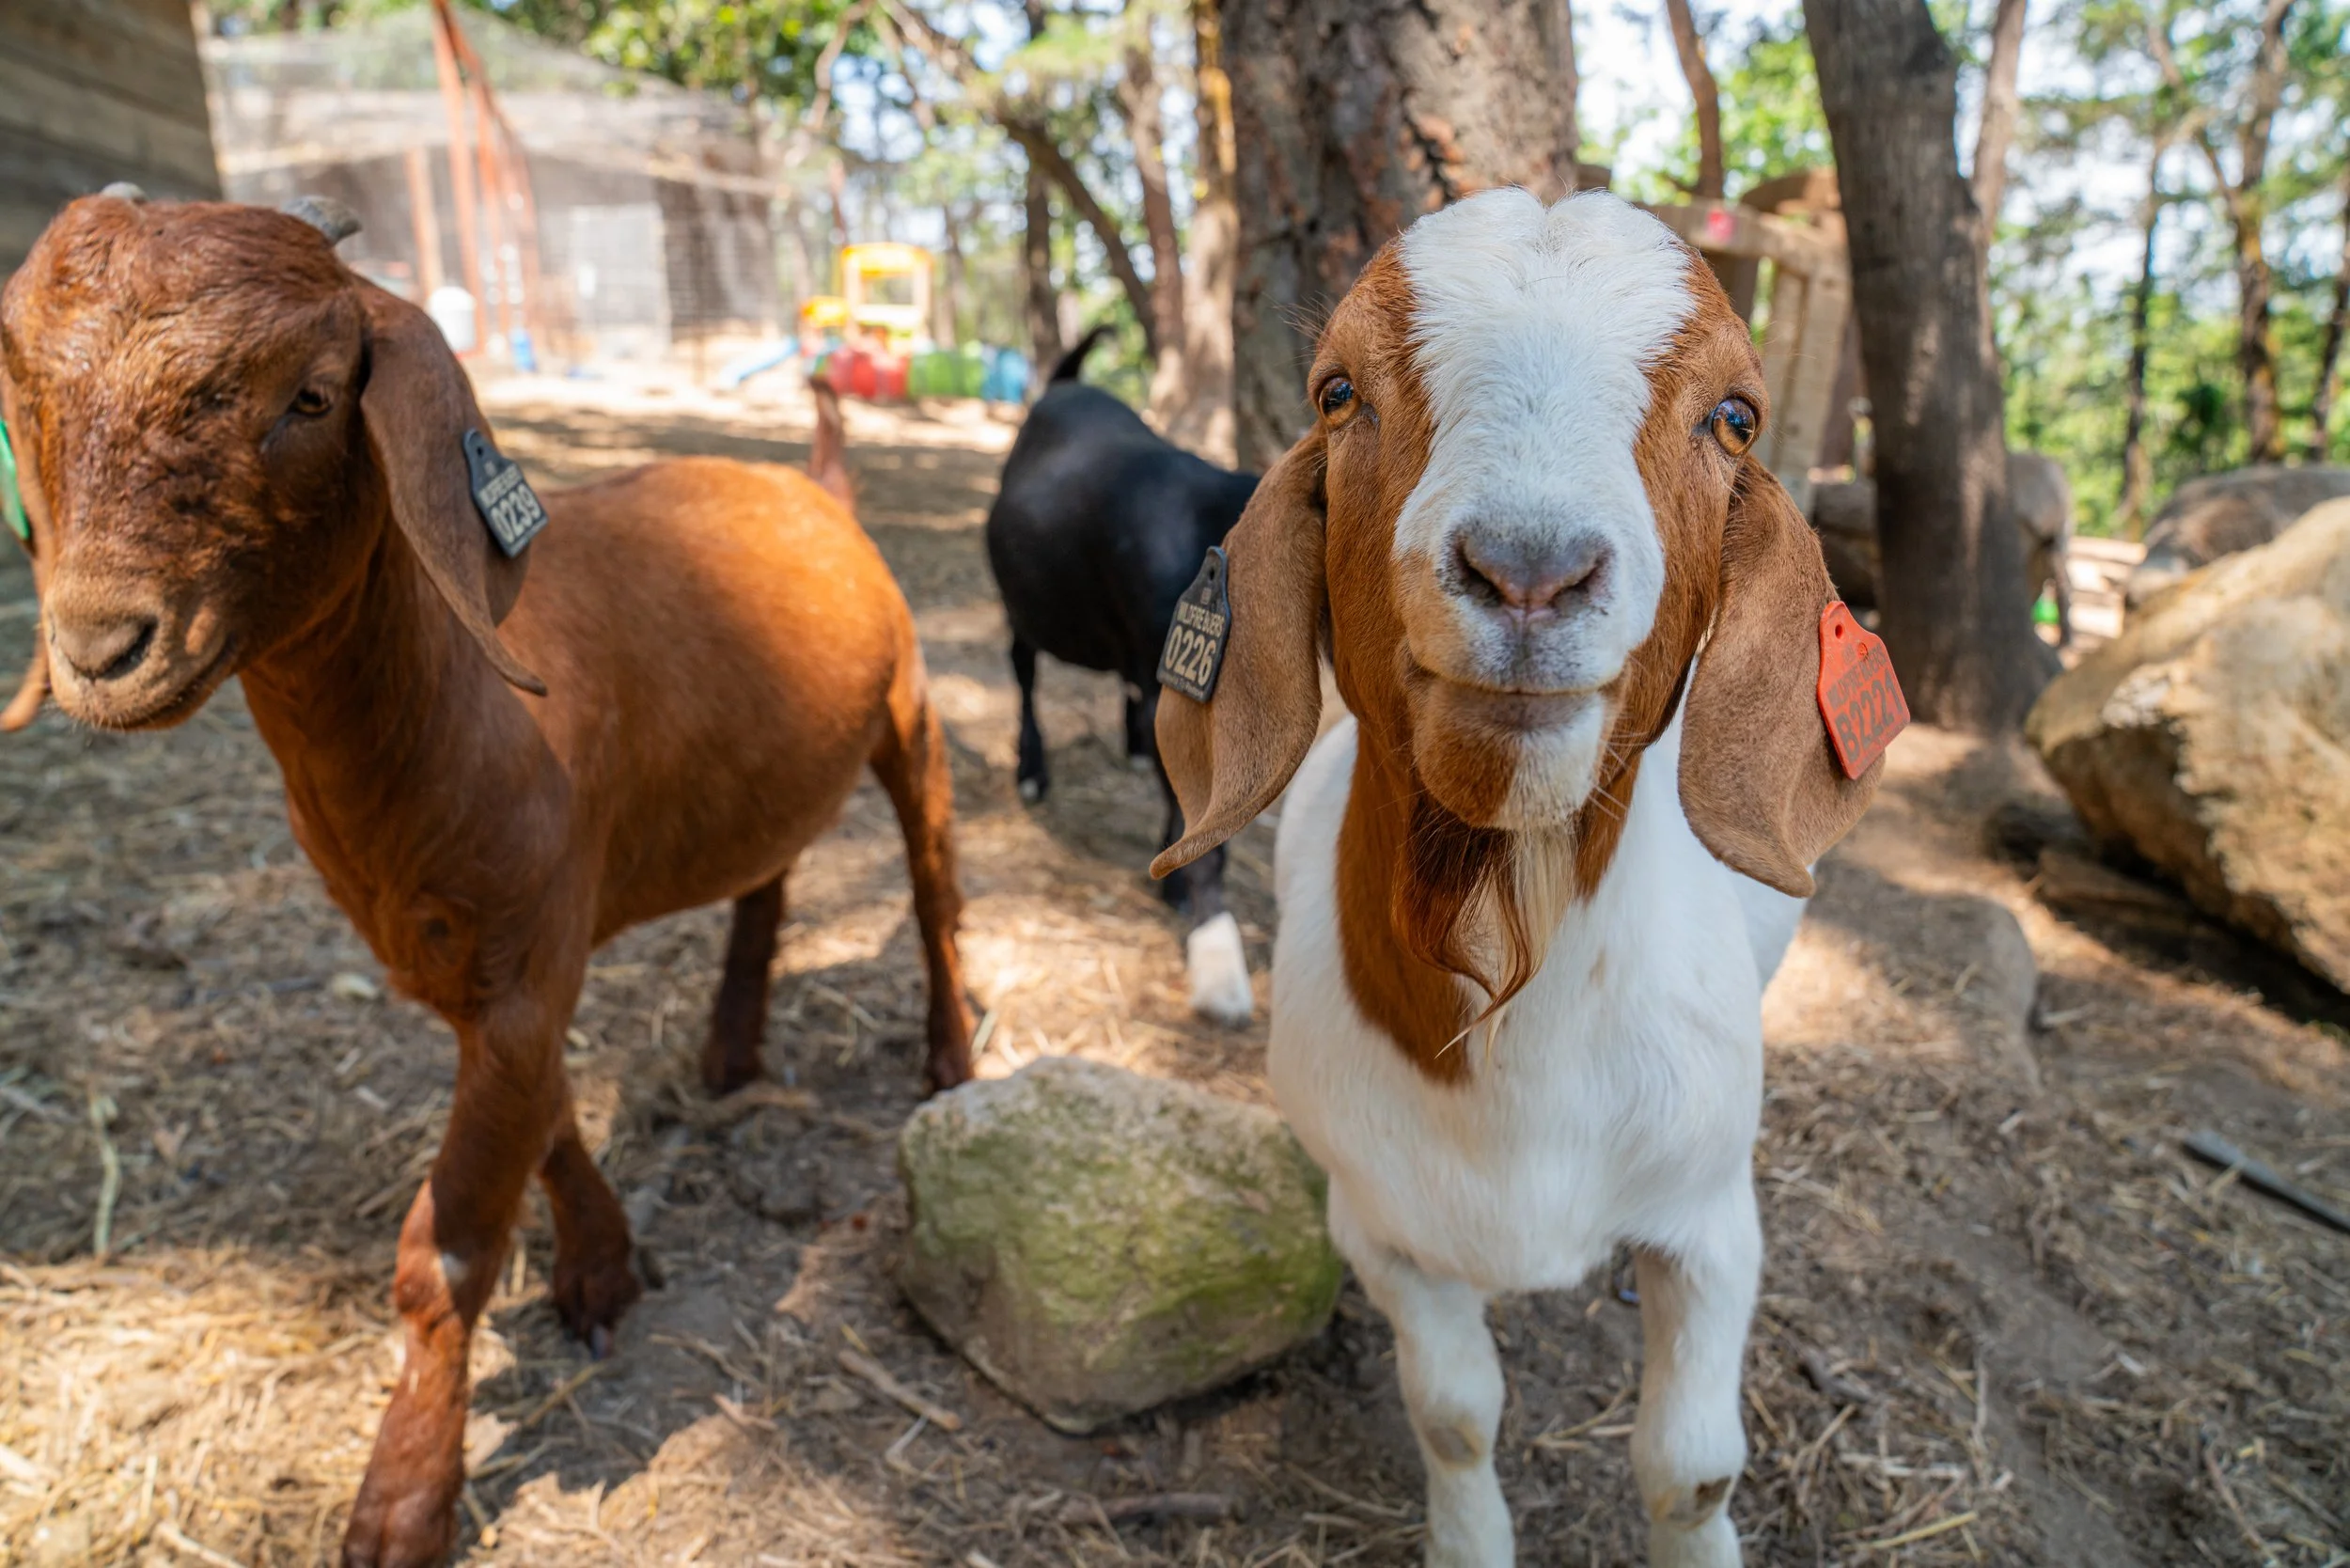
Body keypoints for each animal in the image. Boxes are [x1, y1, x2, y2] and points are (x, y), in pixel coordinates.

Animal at [0, 195, 974, 1567]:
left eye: (310, 395)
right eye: (31, 394)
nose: (99, 646)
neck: (450, 710)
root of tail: (814, 485)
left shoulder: (523, 966)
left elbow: (448, 1250)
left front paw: (401, 1505)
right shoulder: (469, 970)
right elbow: (550, 1117)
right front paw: (603, 1269)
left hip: (912, 712)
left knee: (934, 883)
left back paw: (952, 1059)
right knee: (768, 878)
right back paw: (731, 1050)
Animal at [1154, 190, 1896, 1567]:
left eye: (1734, 416)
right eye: (1339, 391)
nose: (1531, 570)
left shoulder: (1711, 1220)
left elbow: (1690, 1469)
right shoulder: (1381, 1228)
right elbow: (1455, 1416)